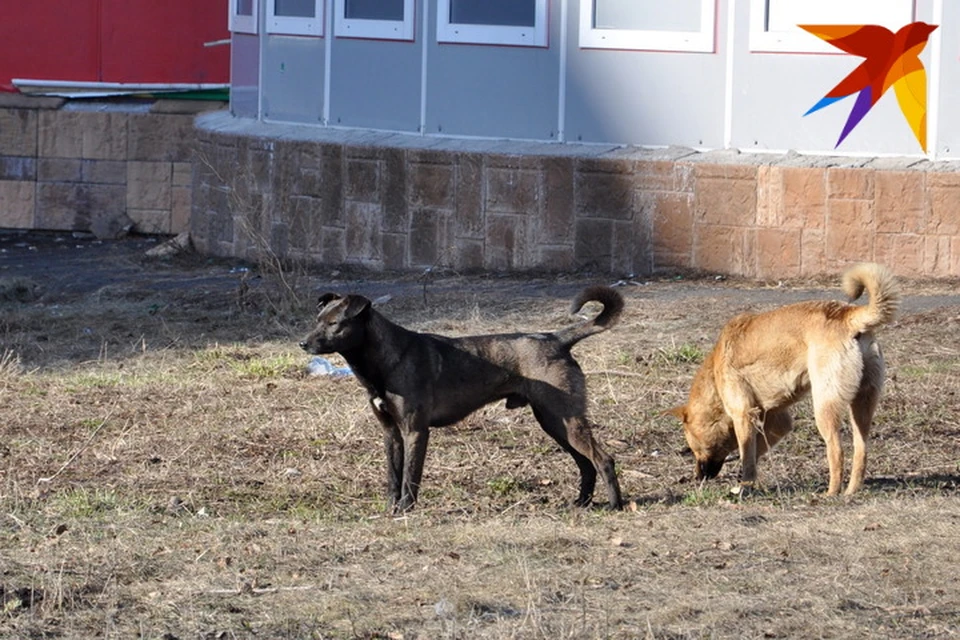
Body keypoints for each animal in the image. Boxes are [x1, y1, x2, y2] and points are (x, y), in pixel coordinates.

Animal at [304, 288, 628, 512]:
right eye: (317, 320)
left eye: (334, 323)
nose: (303, 343)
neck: (387, 360)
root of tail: (556, 338)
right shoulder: (391, 433)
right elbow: (393, 476)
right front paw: (391, 508)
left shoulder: (416, 431)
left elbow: (410, 475)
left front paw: (406, 508)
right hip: (554, 422)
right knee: (586, 464)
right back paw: (581, 502)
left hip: (566, 420)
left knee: (603, 459)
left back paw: (615, 505)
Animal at [668, 262, 900, 498]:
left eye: (692, 447)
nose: (698, 477)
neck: (714, 376)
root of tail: (847, 314)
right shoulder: (778, 421)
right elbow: (753, 454)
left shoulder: (743, 416)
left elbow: (747, 458)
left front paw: (743, 486)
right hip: (862, 405)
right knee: (861, 451)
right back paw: (851, 492)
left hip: (825, 407)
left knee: (836, 450)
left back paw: (831, 493)